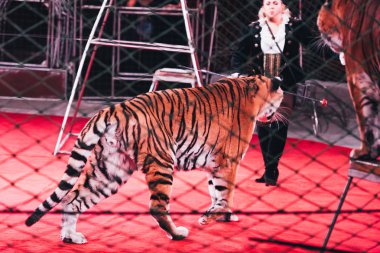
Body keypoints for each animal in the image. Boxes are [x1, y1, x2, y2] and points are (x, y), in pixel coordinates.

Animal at [25, 75, 284, 243]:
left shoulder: (215, 165)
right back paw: (177, 234)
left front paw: (223, 215)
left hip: (109, 170)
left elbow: (216, 192)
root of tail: (112, 110)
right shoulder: (228, 161)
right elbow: (225, 194)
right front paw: (213, 217)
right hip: (162, 162)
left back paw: (70, 236)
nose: (276, 116)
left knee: (72, 198)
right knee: (157, 207)